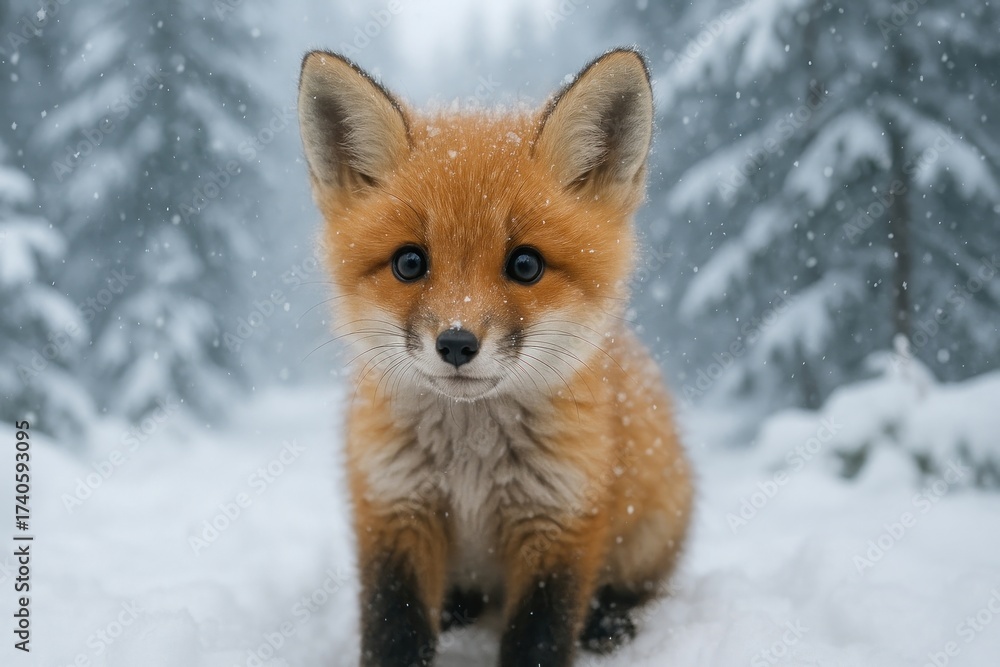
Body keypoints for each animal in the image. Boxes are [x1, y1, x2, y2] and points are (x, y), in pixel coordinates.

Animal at [296, 48, 693, 667]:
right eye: (409, 263)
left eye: (525, 265)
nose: (457, 344)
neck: (471, 463)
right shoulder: (394, 508)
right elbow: (395, 629)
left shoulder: (561, 520)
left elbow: (540, 636)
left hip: (650, 529)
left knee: (636, 588)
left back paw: (608, 620)